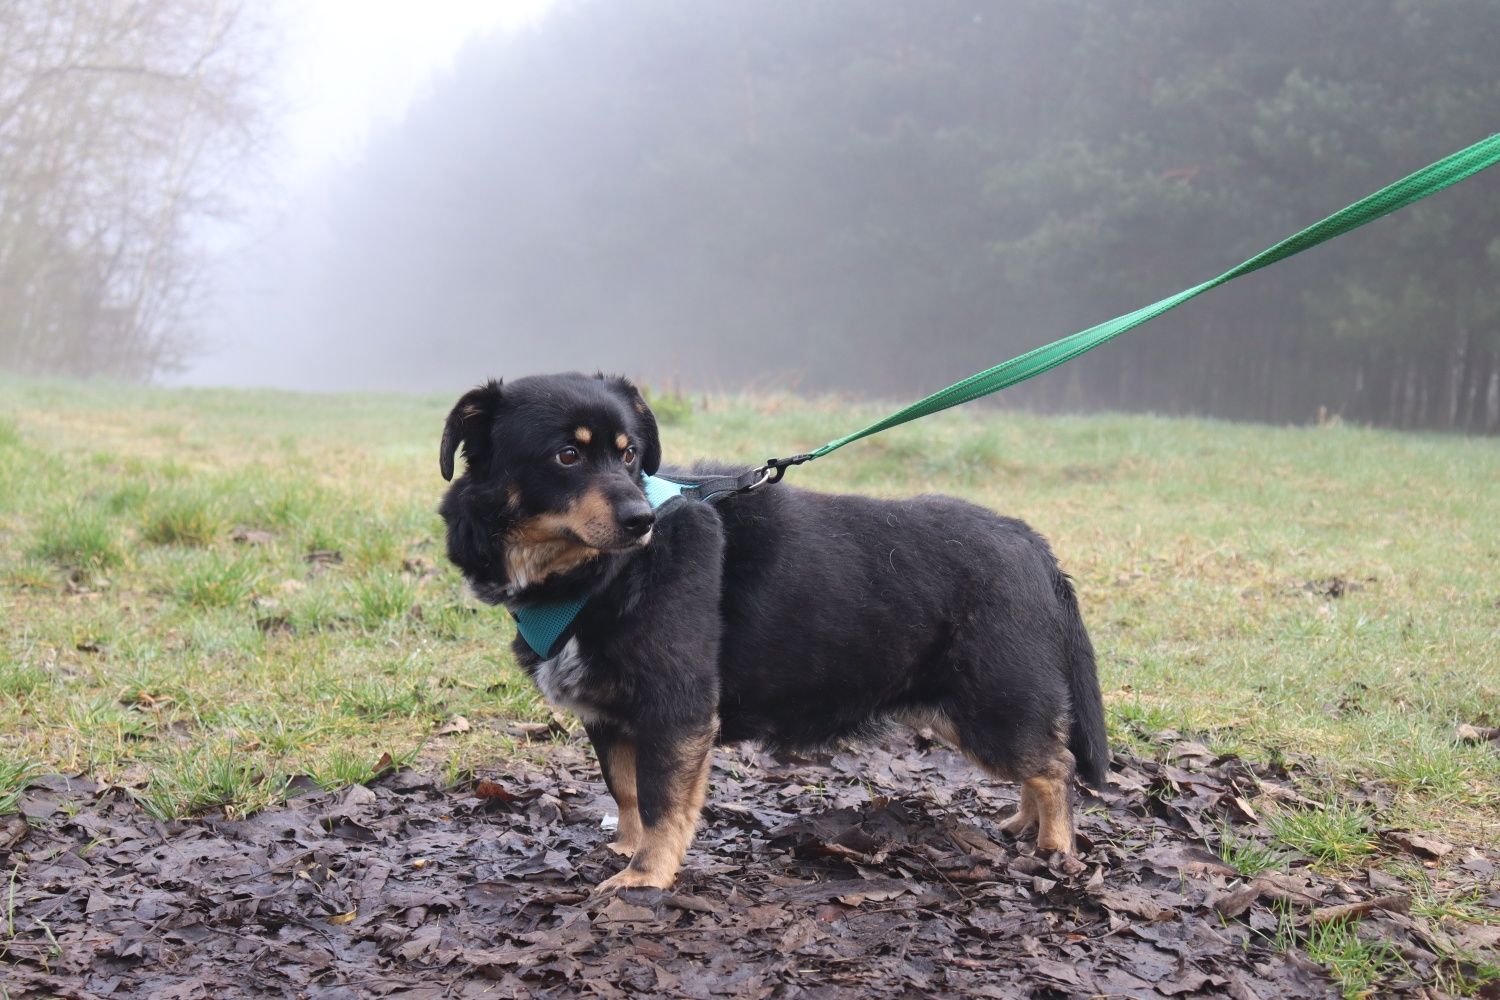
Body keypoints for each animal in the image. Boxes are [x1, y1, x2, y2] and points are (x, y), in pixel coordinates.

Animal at [438, 374, 1110, 893]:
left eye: (630, 455)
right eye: (567, 456)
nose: (643, 520)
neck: (592, 577)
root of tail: (1032, 545)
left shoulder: (676, 710)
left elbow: (660, 802)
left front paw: (646, 875)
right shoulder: (608, 715)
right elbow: (625, 792)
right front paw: (626, 849)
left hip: (989, 703)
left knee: (1055, 763)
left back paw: (1054, 846)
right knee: (1041, 760)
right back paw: (1023, 823)